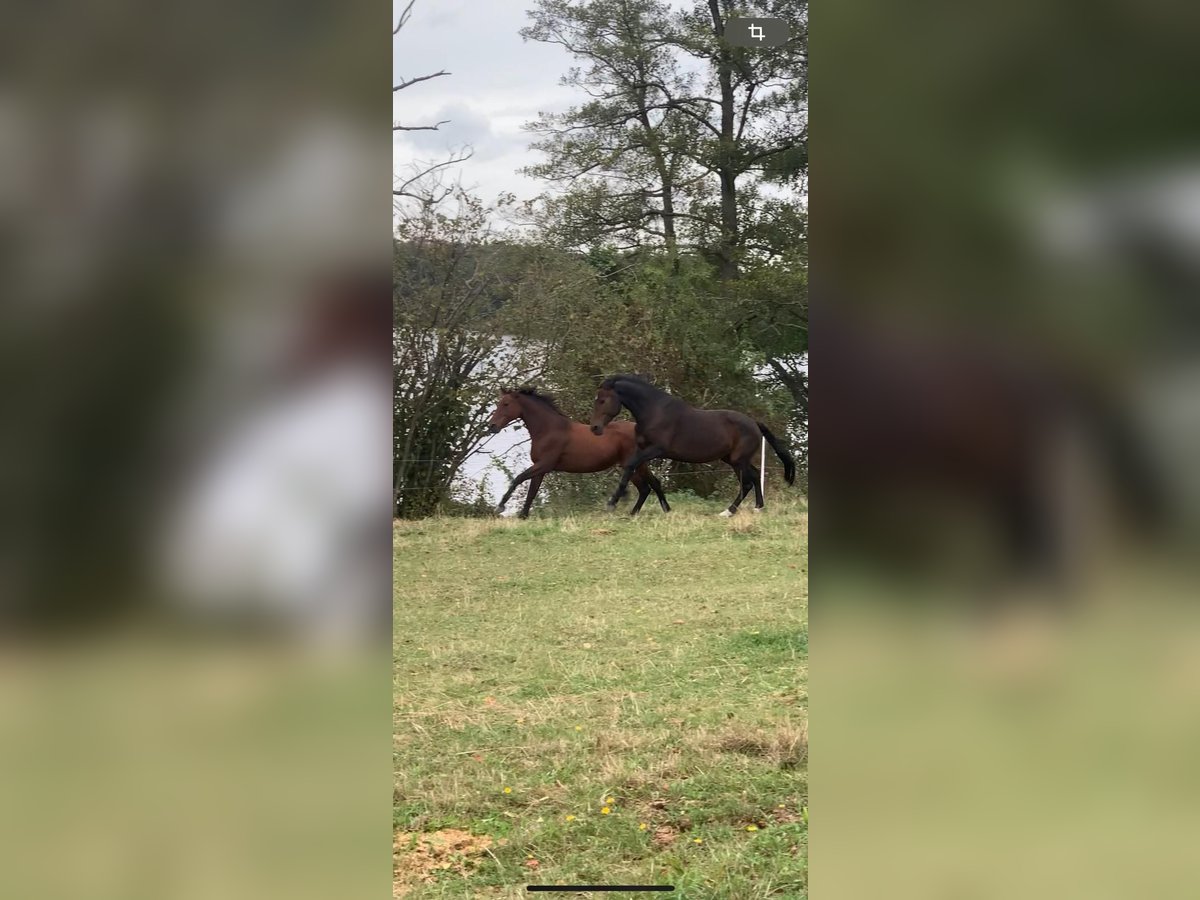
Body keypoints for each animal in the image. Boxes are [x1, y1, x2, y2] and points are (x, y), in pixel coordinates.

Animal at [489, 388, 676, 520]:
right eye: (498, 403)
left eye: (506, 404)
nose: (492, 426)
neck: (548, 430)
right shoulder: (540, 468)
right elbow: (532, 492)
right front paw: (523, 516)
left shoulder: (544, 464)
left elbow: (518, 479)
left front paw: (500, 507)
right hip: (636, 465)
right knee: (650, 485)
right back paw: (657, 511)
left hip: (633, 465)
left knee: (647, 487)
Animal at [590, 374, 796, 513]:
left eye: (602, 400)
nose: (595, 428)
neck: (654, 411)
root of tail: (754, 423)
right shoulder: (642, 450)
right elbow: (638, 472)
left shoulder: (656, 449)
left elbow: (630, 467)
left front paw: (613, 502)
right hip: (732, 459)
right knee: (753, 477)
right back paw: (756, 508)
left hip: (739, 460)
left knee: (747, 483)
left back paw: (728, 512)